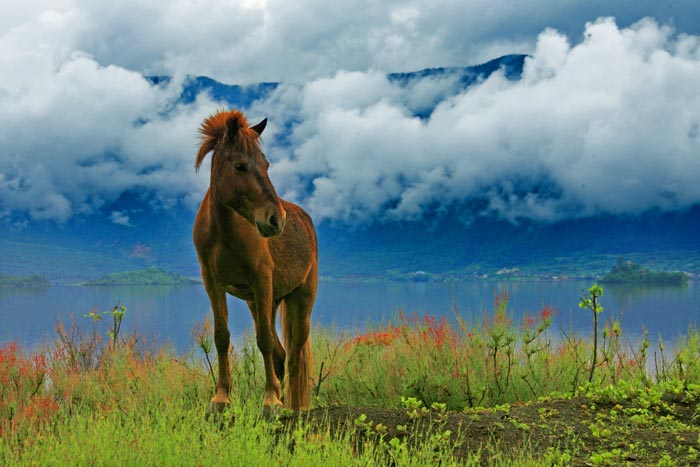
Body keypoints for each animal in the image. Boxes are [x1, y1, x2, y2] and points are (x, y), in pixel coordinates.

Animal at [194, 109, 320, 416]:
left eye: (266, 164)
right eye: (240, 166)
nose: (276, 219)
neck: (225, 232)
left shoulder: (261, 279)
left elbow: (262, 339)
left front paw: (271, 401)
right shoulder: (213, 283)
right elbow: (222, 336)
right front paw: (221, 398)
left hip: (300, 300)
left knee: (294, 357)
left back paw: (293, 408)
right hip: (263, 303)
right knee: (281, 354)